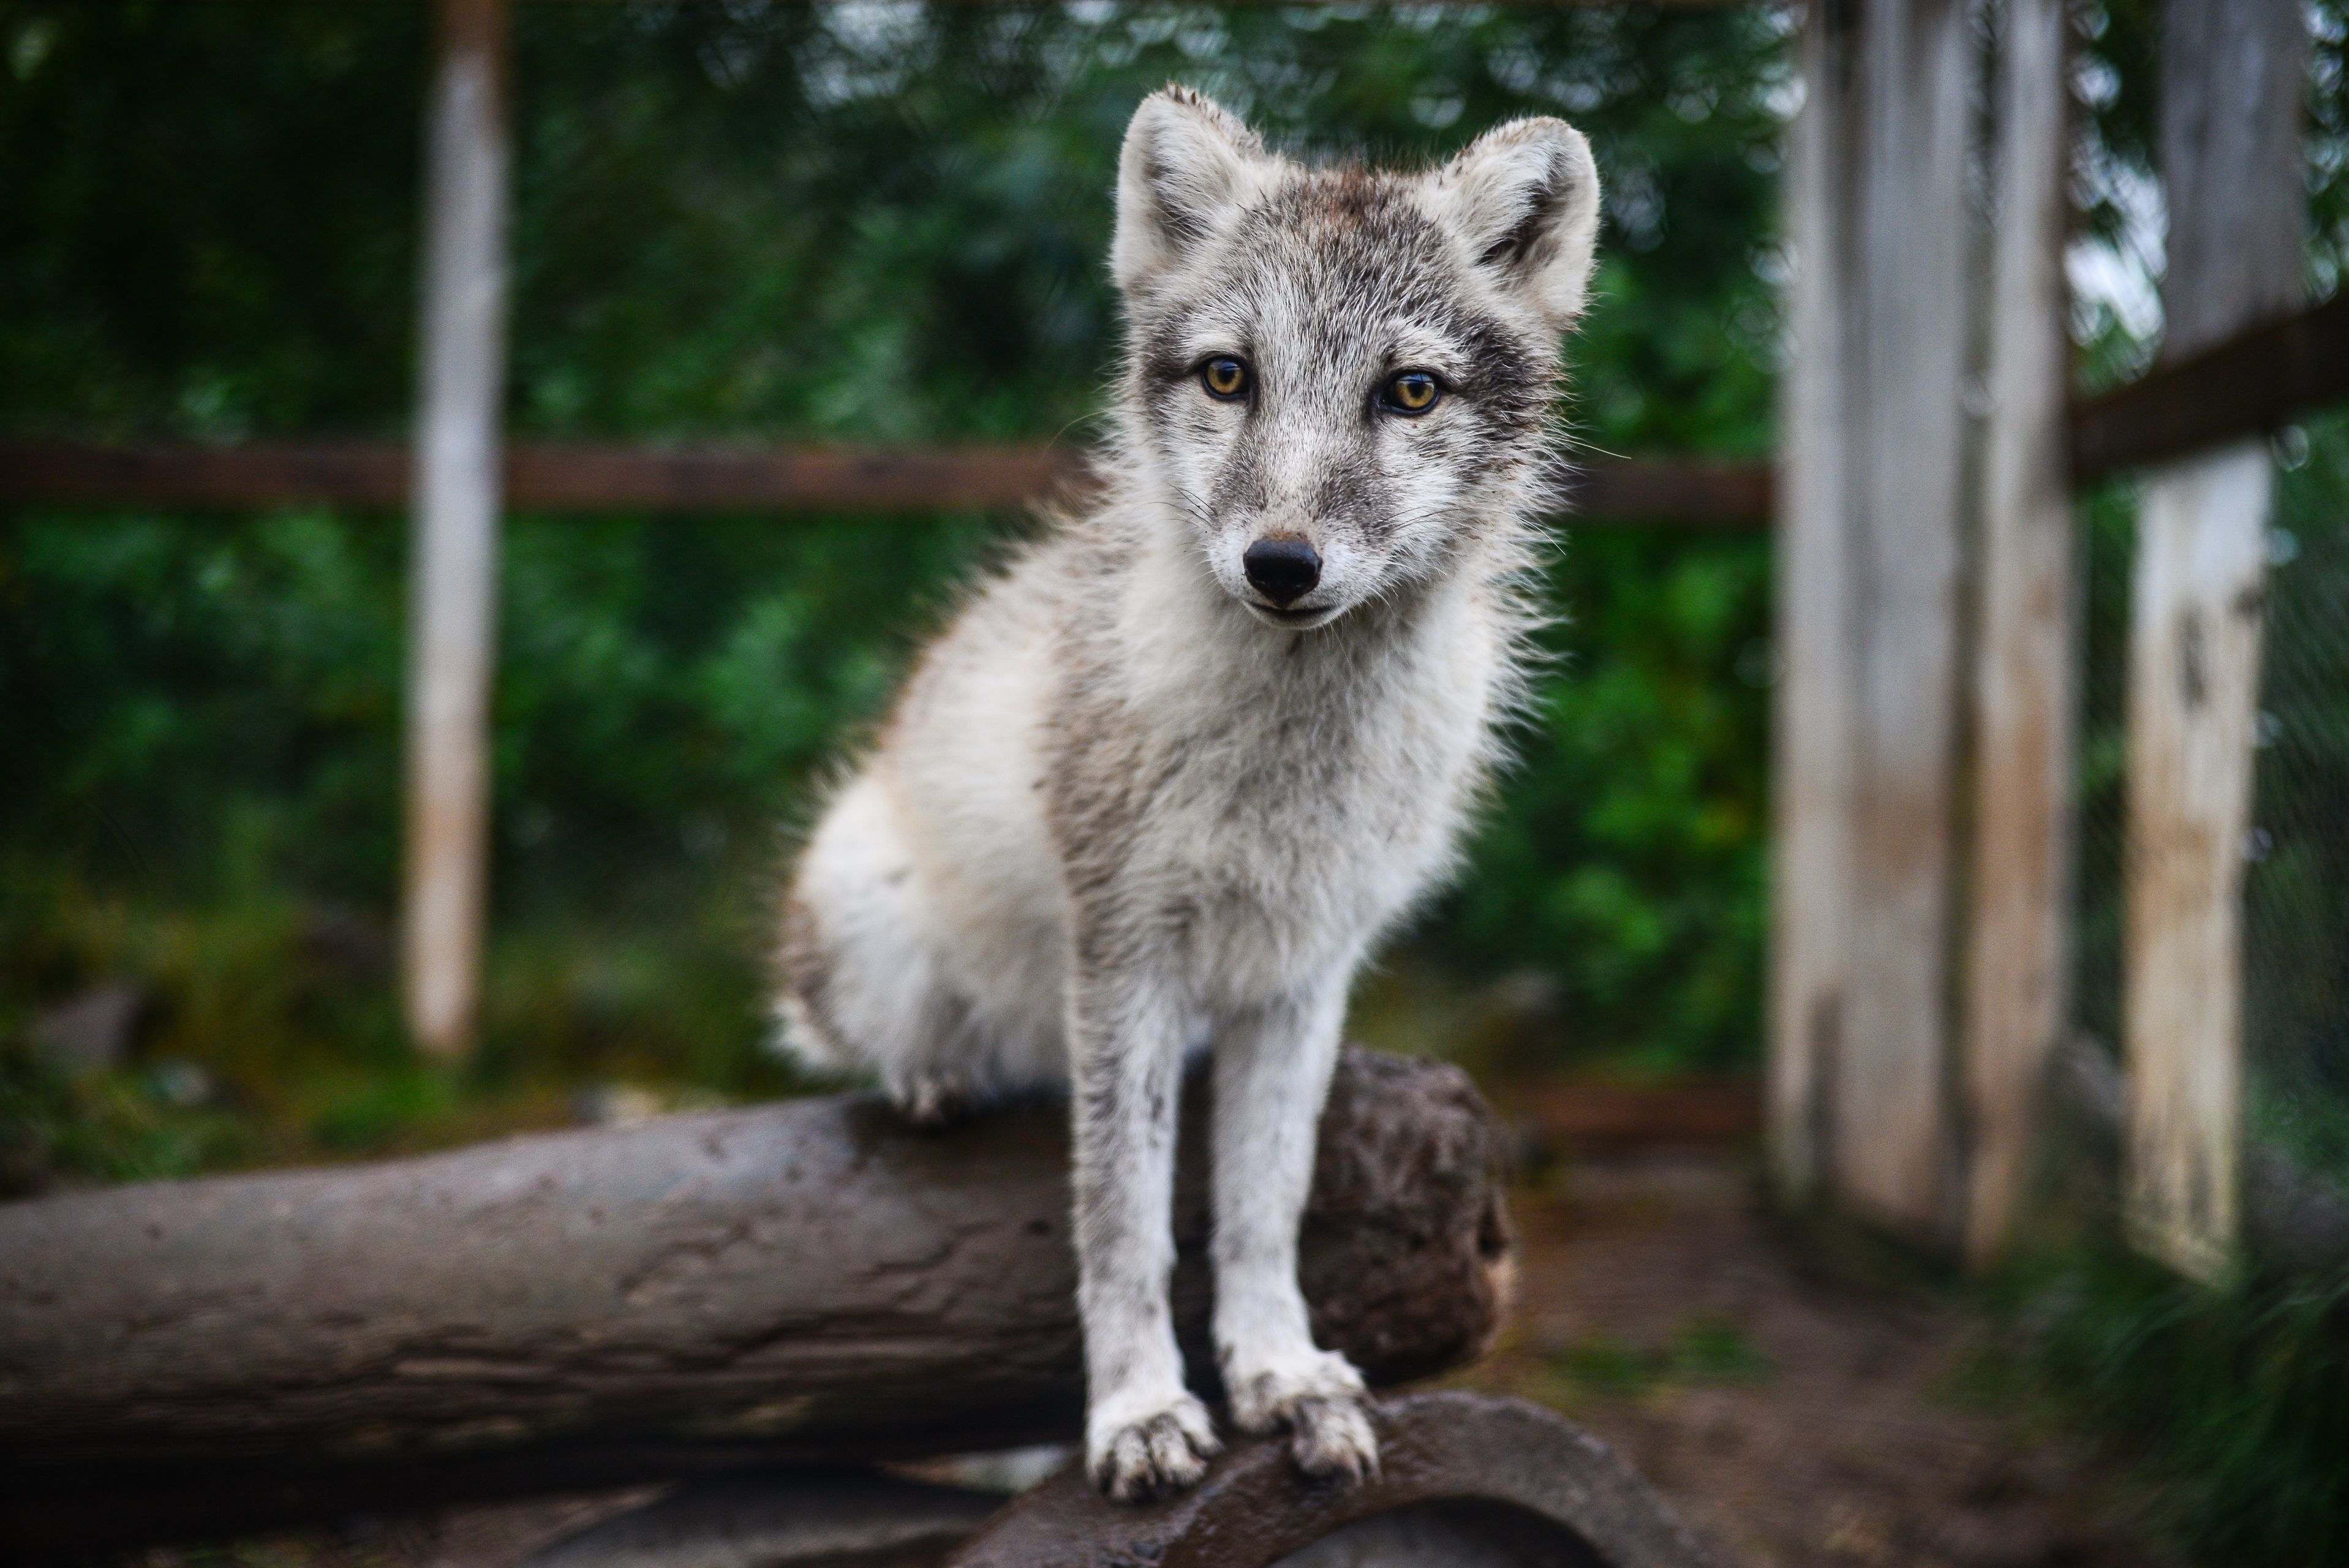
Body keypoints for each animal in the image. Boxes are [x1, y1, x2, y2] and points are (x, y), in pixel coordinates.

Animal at [780, 88, 1607, 1502]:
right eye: (1230, 376)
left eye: (1410, 392)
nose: (1281, 564)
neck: (1289, 766)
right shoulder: (1124, 957)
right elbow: (1123, 1217)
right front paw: (1139, 1408)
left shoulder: (1305, 969)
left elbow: (1262, 1205)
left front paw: (1280, 1374)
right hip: (873, 914)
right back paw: (938, 1079)